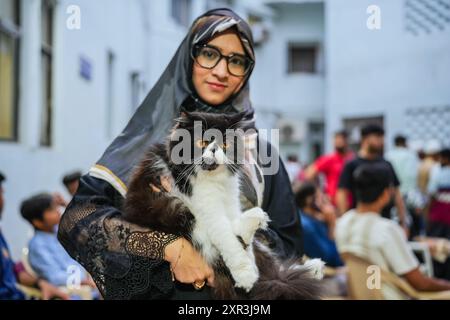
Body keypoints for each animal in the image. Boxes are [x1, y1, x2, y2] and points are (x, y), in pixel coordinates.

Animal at [122, 111, 320, 298]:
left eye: (225, 145)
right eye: (202, 142)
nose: (215, 149)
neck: (215, 181)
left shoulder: (230, 201)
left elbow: (240, 238)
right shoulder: (209, 211)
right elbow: (230, 243)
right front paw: (246, 276)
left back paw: (312, 266)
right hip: (179, 214)